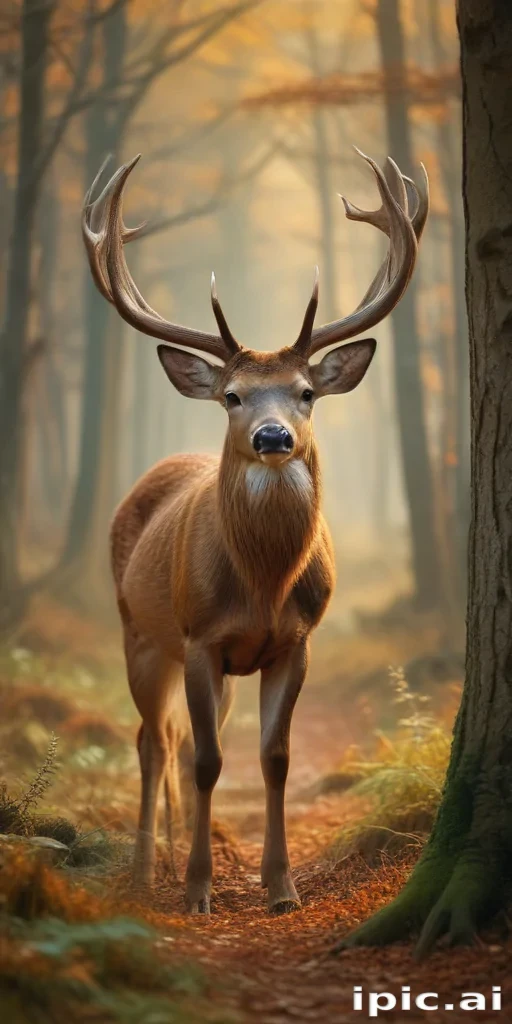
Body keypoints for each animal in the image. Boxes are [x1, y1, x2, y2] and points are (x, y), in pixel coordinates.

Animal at [81, 148, 428, 915]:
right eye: (233, 396)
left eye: (306, 392)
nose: (273, 436)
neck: (264, 584)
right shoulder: (201, 636)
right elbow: (213, 761)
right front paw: (197, 889)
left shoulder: (294, 641)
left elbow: (273, 758)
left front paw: (281, 887)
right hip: (138, 631)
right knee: (153, 740)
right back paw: (148, 871)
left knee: (176, 742)